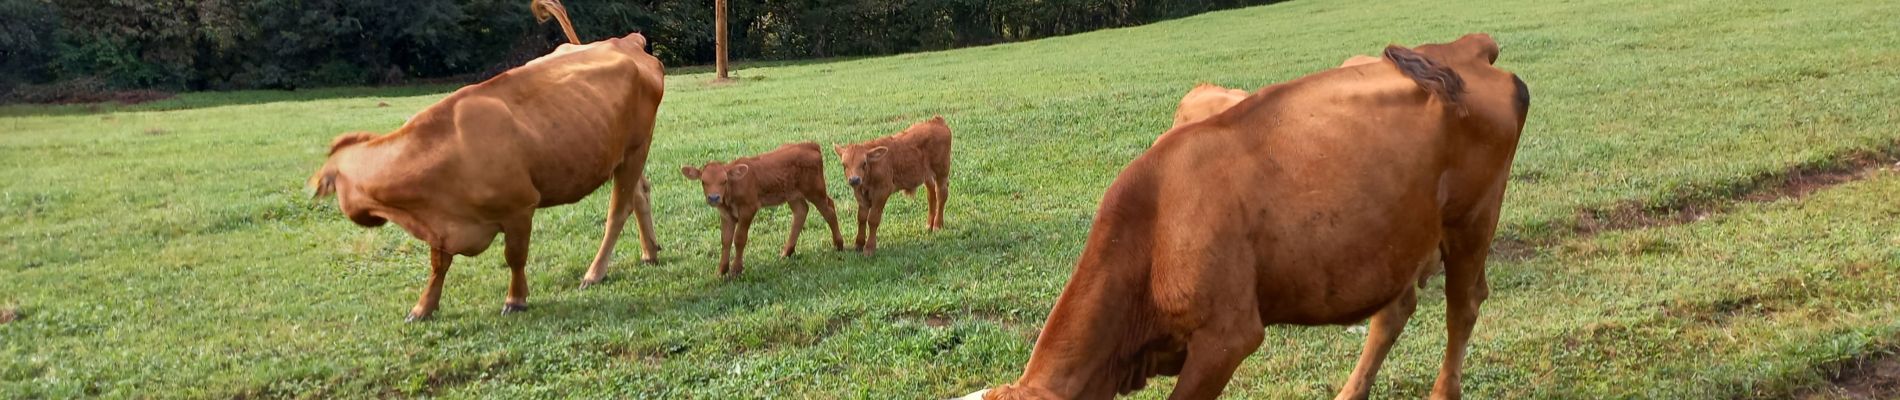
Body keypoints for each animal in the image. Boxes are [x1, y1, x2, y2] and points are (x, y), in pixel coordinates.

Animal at [676, 143, 839, 278]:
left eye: (724, 181)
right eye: (703, 182)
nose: (714, 197)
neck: (732, 191)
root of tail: (810, 145)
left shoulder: (749, 208)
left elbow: (739, 238)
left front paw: (736, 269)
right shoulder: (726, 215)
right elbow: (725, 240)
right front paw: (721, 270)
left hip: (815, 190)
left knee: (829, 209)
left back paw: (839, 244)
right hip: (792, 194)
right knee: (801, 211)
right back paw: (787, 252)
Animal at [832, 115, 950, 255]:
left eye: (864, 163)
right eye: (844, 165)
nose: (854, 180)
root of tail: (937, 120)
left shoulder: (882, 192)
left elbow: (873, 219)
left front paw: (869, 248)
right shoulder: (860, 194)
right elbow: (861, 218)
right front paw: (859, 244)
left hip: (942, 172)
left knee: (941, 194)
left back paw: (937, 225)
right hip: (926, 174)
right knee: (931, 194)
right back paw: (929, 225)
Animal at [965, 33, 1527, 400]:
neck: (1152, 229)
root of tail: (1463, 47)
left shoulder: (1228, 336)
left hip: (1473, 219)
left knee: (1463, 306)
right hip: (1398, 235)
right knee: (1394, 311)